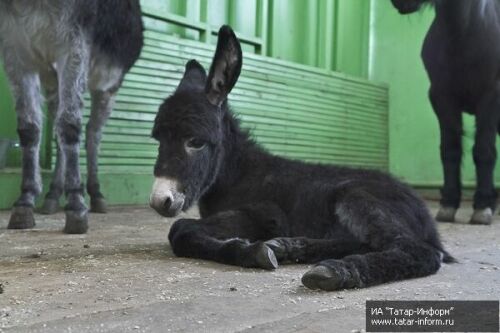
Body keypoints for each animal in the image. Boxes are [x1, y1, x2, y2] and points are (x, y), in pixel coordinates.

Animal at [151, 26, 454, 290]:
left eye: (196, 142)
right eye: (157, 139)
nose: (159, 200)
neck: (239, 174)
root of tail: (424, 213)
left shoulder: (267, 215)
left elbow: (180, 229)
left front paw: (249, 251)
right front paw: (260, 249)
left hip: (357, 196)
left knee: (417, 251)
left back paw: (338, 271)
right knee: (367, 242)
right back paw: (290, 249)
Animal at [392, 0, 500, 224]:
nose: (399, 3)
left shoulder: (491, 96)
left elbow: (483, 150)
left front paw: (483, 205)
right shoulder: (442, 97)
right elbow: (450, 150)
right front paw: (448, 204)